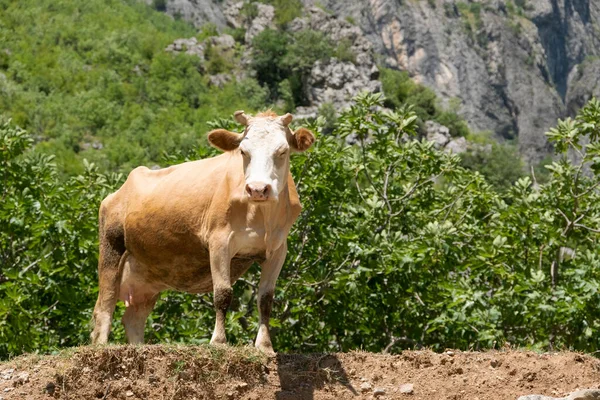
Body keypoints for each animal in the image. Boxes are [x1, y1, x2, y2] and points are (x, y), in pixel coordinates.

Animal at [91, 110, 316, 354]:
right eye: (243, 151)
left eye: (282, 151)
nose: (257, 189)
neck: (261, 216)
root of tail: (118, 191)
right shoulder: (219, 241)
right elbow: (223, 293)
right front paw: (218, 341)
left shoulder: (278, 249)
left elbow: (265, 299)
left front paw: (265, 346)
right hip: (111, 245)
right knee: (104, 305)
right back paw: (100, 346)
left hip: (147, 273)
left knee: (133, 317)